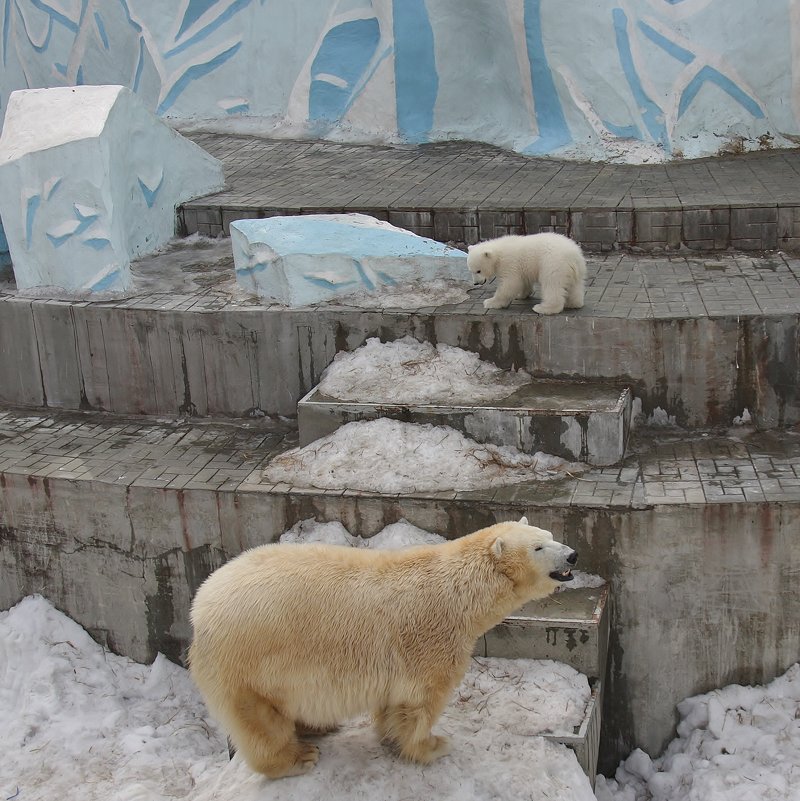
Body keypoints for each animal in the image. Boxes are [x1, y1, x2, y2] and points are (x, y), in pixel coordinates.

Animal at [188, 516, 576, 780]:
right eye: (539, 547)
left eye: (550, 535)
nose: (572, 555)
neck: (460, 595)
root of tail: (199, 608)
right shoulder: (430, 644)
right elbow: (420, 702)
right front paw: (432, 746)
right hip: (248, 665)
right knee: (260, 724)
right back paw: (299, 757)